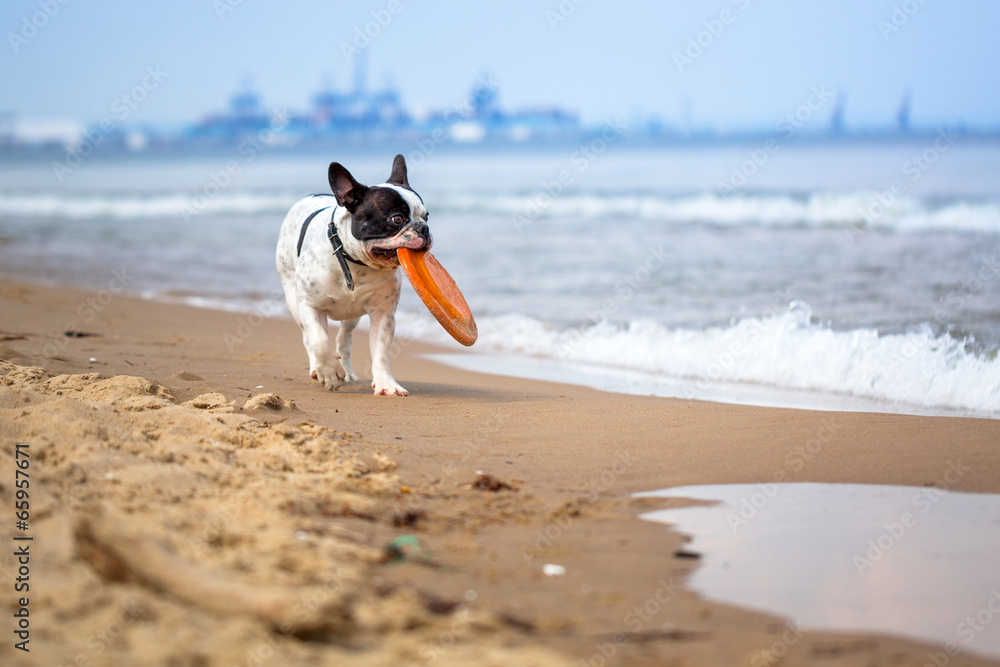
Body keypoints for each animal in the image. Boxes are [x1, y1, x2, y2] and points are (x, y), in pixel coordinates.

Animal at [278, 155, 430, 396]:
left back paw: (347, 371)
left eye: (426, 216)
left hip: (352, 315)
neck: (355, 263)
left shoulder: (383, 314)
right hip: (293, 298)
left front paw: (386, 383)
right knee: (308, 337)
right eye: (397, 219)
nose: (424, 229)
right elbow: (319, 340)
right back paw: (317, 369)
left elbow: (381, 350)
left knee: (344, 338)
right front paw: (329, 371)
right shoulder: (310, 306)